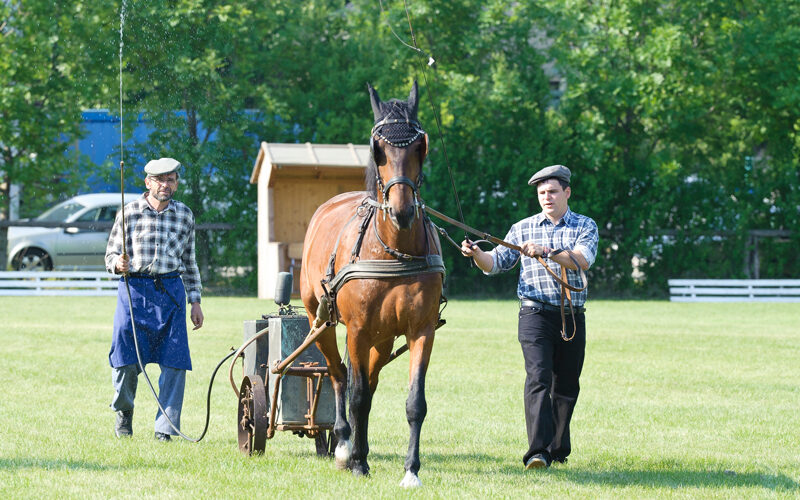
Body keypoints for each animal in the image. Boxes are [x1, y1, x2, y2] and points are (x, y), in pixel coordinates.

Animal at [300, 81, 444, 487]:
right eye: (377, 149)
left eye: (420, 146)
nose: (402, 210)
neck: (394, 250)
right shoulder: (357, 330)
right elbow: (356, 394)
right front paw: (356, 460)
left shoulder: (421, 330)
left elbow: (415, 402)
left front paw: (411, 470)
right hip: (322, 322)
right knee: (339, 376)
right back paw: (344, 444)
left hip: (383, 337)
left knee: (369, 380)